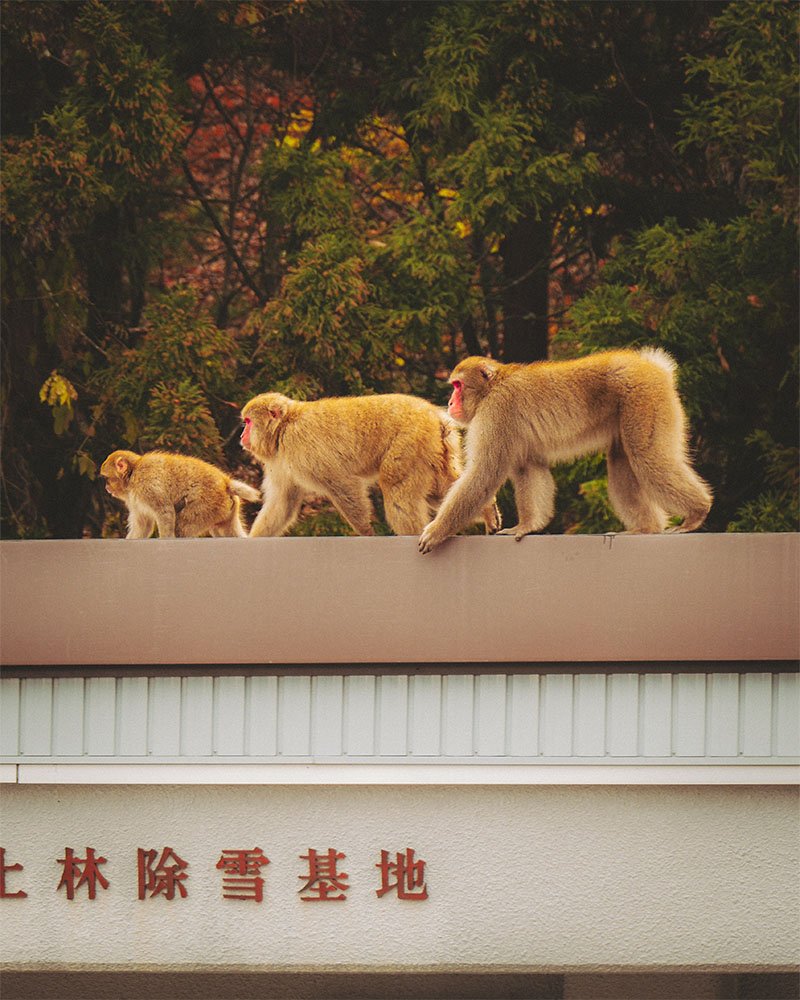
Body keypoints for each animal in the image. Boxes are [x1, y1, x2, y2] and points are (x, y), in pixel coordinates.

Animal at [101, 448, 260, 536]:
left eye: (107, 478)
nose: (106, 487)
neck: (133, 473)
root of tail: (225, 482)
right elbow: (143, 525)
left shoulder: (147, 486)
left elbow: (165, 512)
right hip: (225, 510)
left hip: (209, 504)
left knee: (184, 527)